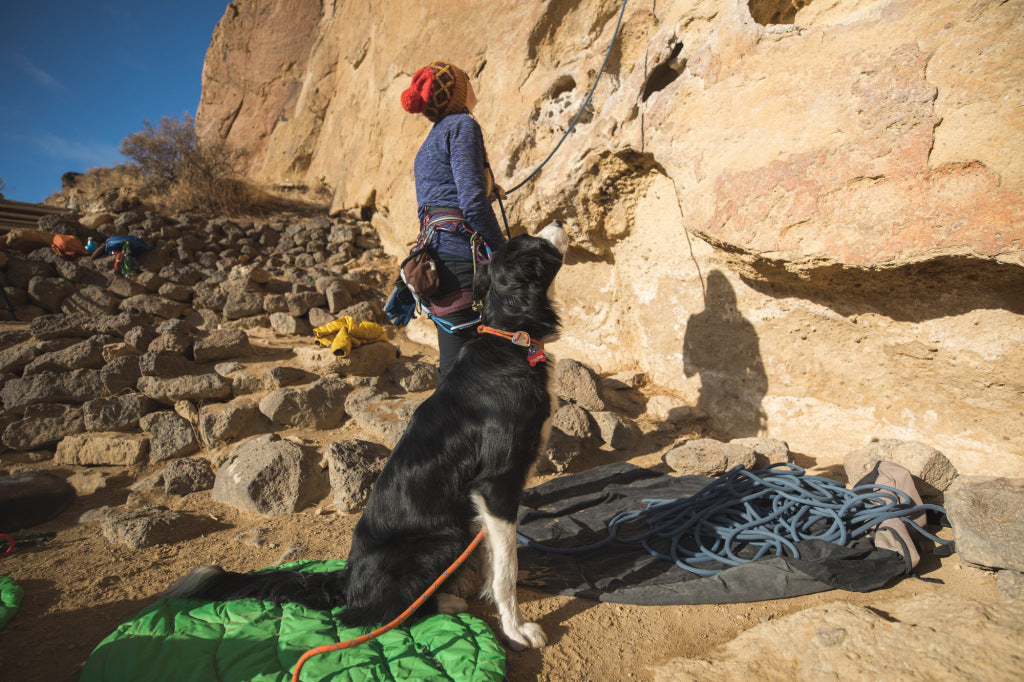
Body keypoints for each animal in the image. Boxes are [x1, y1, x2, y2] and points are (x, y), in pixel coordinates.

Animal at [164, 222, 573, 647]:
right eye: (535, 242)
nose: (559, 223)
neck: (511, 339)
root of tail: (347, 580)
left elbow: (496, 563)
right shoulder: (497, 483)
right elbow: (507, 568)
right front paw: (517, 629)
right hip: (445, 538)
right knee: (375, 613)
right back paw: (442, 601)